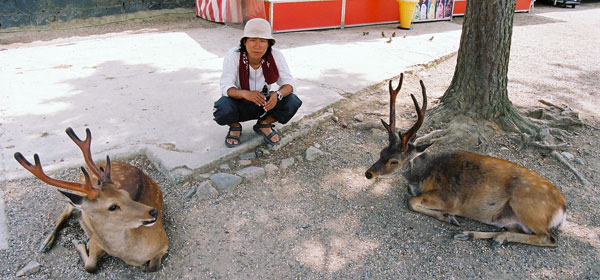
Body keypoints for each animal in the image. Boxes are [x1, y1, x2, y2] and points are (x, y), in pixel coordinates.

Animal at [14, 128, 169, 272]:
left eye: (126, 194)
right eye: (112, 207)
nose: (153, 212)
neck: (130, 256)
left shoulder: (164, 243)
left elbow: (153, 267)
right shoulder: (96, 240)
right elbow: (90, 266)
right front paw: (79, 243)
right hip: (78, 189)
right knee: (66, 210)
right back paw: (45, 244)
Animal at [366, 75, 568, 247]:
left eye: (394, 161)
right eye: (381, 151)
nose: (369, 173)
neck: (422, 176)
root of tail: (563, 209)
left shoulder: (448, 198)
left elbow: (411, 201)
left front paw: (449, 217)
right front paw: (450, 218)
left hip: (528, 206)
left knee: (548, 238)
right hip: (512, 218)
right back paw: (478, 235)